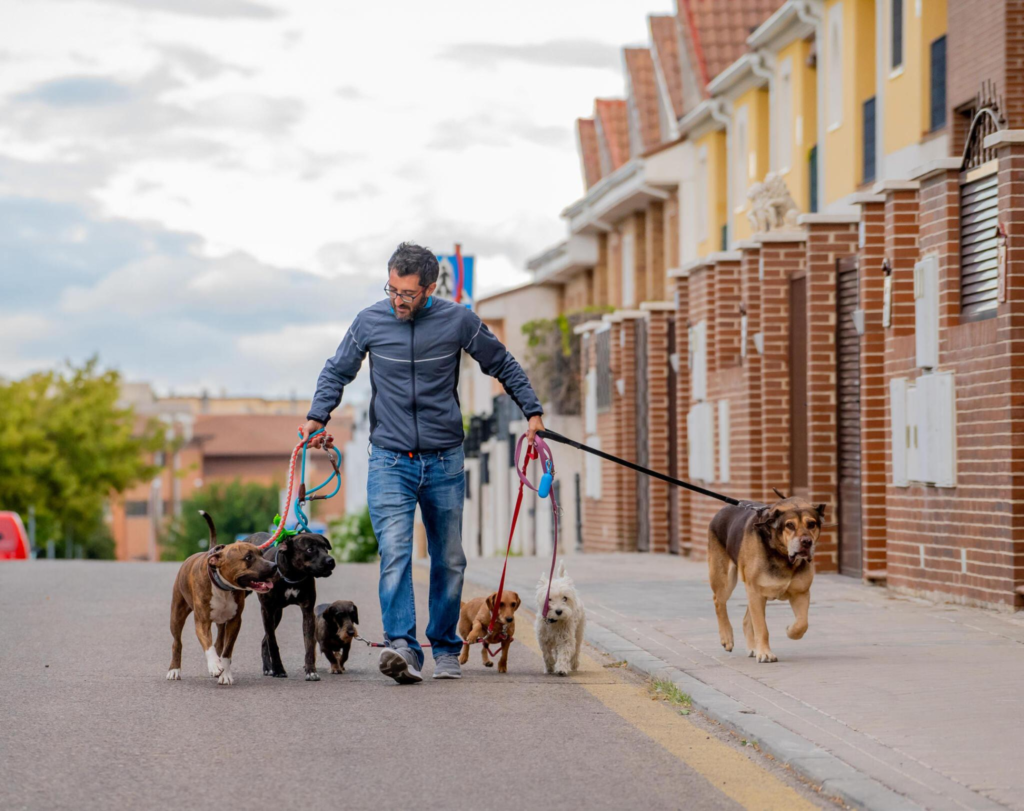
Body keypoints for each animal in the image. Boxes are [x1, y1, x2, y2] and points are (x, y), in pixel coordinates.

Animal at [165, 514, 276, 684]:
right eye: (248, 557)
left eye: (262, 554)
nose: (274, 565)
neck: (223, 587)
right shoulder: (202, 622)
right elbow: (208, 645)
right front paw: (214, 666)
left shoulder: (234, 622)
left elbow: (226, 651)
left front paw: (225, 673)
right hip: (177, 615)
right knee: (177, 643)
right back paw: (174, 670)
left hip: (221, 622)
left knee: (219, 642)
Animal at [712, 497, 823, 663]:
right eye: (789, 525)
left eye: (811, 524)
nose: (806, 542)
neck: (782, 554)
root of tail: (722, 510)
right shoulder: (756, 592)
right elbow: (762, 628)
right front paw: (764, 653)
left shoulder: (801, 593)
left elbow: (802, 623)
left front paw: (790, 631)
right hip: (725, 580)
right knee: (719, 602)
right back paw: (727, 638)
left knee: (746, 619)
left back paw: (752, 647)